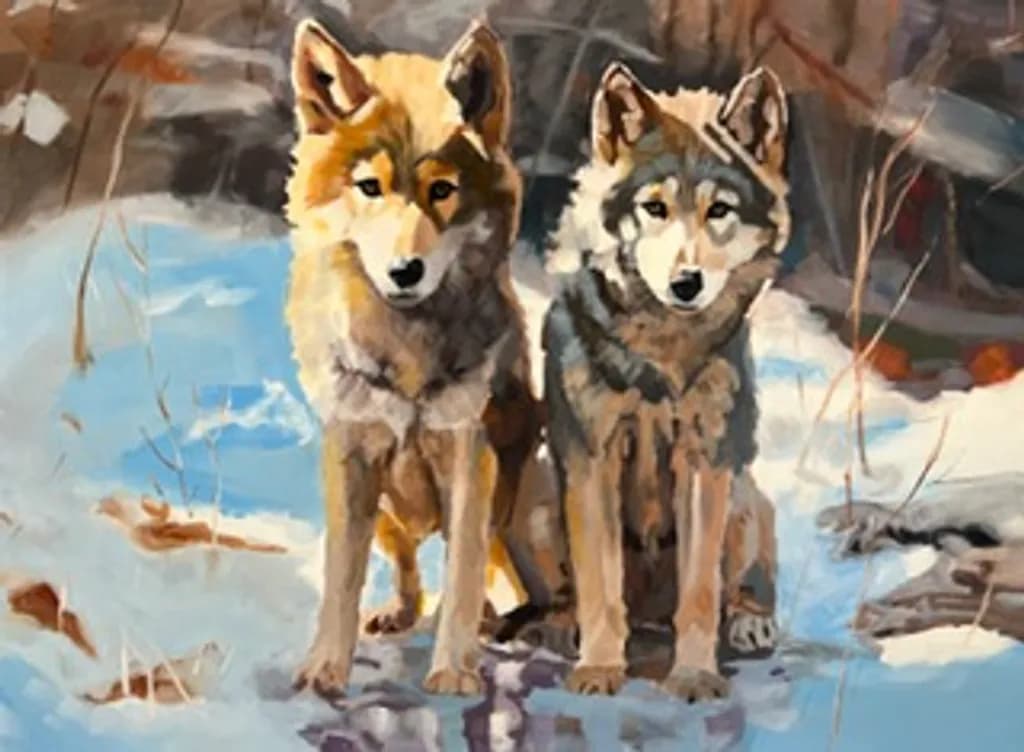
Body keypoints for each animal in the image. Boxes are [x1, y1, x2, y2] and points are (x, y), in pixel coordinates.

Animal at [285, 18, 571, 697]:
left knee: (535, 588)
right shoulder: (351, 455)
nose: (405, 271)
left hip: (524, 506)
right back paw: (403, 612)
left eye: (442, 190)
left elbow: (463, 577)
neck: (407, 353)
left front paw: (454, 672)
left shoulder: (472, 457)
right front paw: (325, 667)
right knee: (414, 570)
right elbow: (341, 577)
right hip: (394, 513)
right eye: (370, 187)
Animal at [543, 62, 790, 699]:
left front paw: (695, 676)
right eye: (654, 208)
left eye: (719, 211)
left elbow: (699, 595)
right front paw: (600, 669)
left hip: (743, 496)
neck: (660, 352)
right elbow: (600, 588)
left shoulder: (705, 462)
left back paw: (750, 622)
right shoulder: (592, 459)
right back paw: (565, 627)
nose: (686, 282)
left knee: (736, 589)